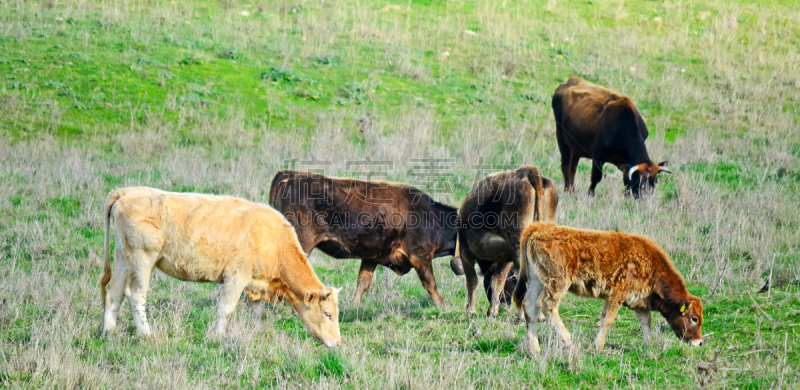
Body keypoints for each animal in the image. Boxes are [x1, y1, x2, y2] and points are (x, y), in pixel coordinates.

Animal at [98, 187, 342, 348]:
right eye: (328, 314)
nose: (338, 343)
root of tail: (128, 191)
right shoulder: (236, 276)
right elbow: (226, 309)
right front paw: (217, 338)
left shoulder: (255, 284)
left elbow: (257, 313)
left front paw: (258, 334)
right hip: (142, 258)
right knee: (135, 294)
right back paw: (146, 334)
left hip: (124, 257)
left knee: (113, 292)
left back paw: (108, 331)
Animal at [268, 169, 456, 306]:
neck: (432, 217)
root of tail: (290, 175)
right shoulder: (421, 256)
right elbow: (430, 283)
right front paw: (442, 304)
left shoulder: (371, 257)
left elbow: (363, 283)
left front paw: (354, 307)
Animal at [456, 165, 556, 316]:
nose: (505, 302)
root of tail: (528, 172)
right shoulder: (506, 257)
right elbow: (498, 281)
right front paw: (492, 311)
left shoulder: (465, 250)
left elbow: (472, 280)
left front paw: (470, 311)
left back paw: (521, 318)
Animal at [516, 222, 704, 354]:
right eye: (694, 318)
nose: (700, 342)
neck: (651, 265)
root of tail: (539, 228)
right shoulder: (616, 295)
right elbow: (608, 319)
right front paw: (598, 345)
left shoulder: (639, 302)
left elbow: (646, 322)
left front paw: (649, 345)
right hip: (558, 283)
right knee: (547, 305)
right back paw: (568, 340)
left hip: (537, 281)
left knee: (530, 307)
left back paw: (534, 349)